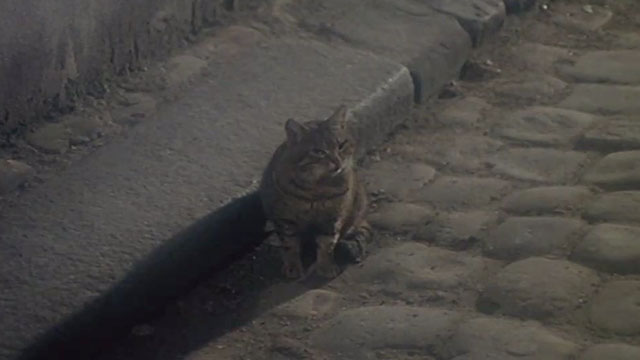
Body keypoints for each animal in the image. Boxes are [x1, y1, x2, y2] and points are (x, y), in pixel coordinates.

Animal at [258, 104, 370, 278]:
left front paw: (326, 266)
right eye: (319, 151)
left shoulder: (332, 218)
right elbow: (290, 244)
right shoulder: (284, 218)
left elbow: (327, 243)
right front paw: (293, 266)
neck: (317, 186)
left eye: (341, 145)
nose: (337, 162)